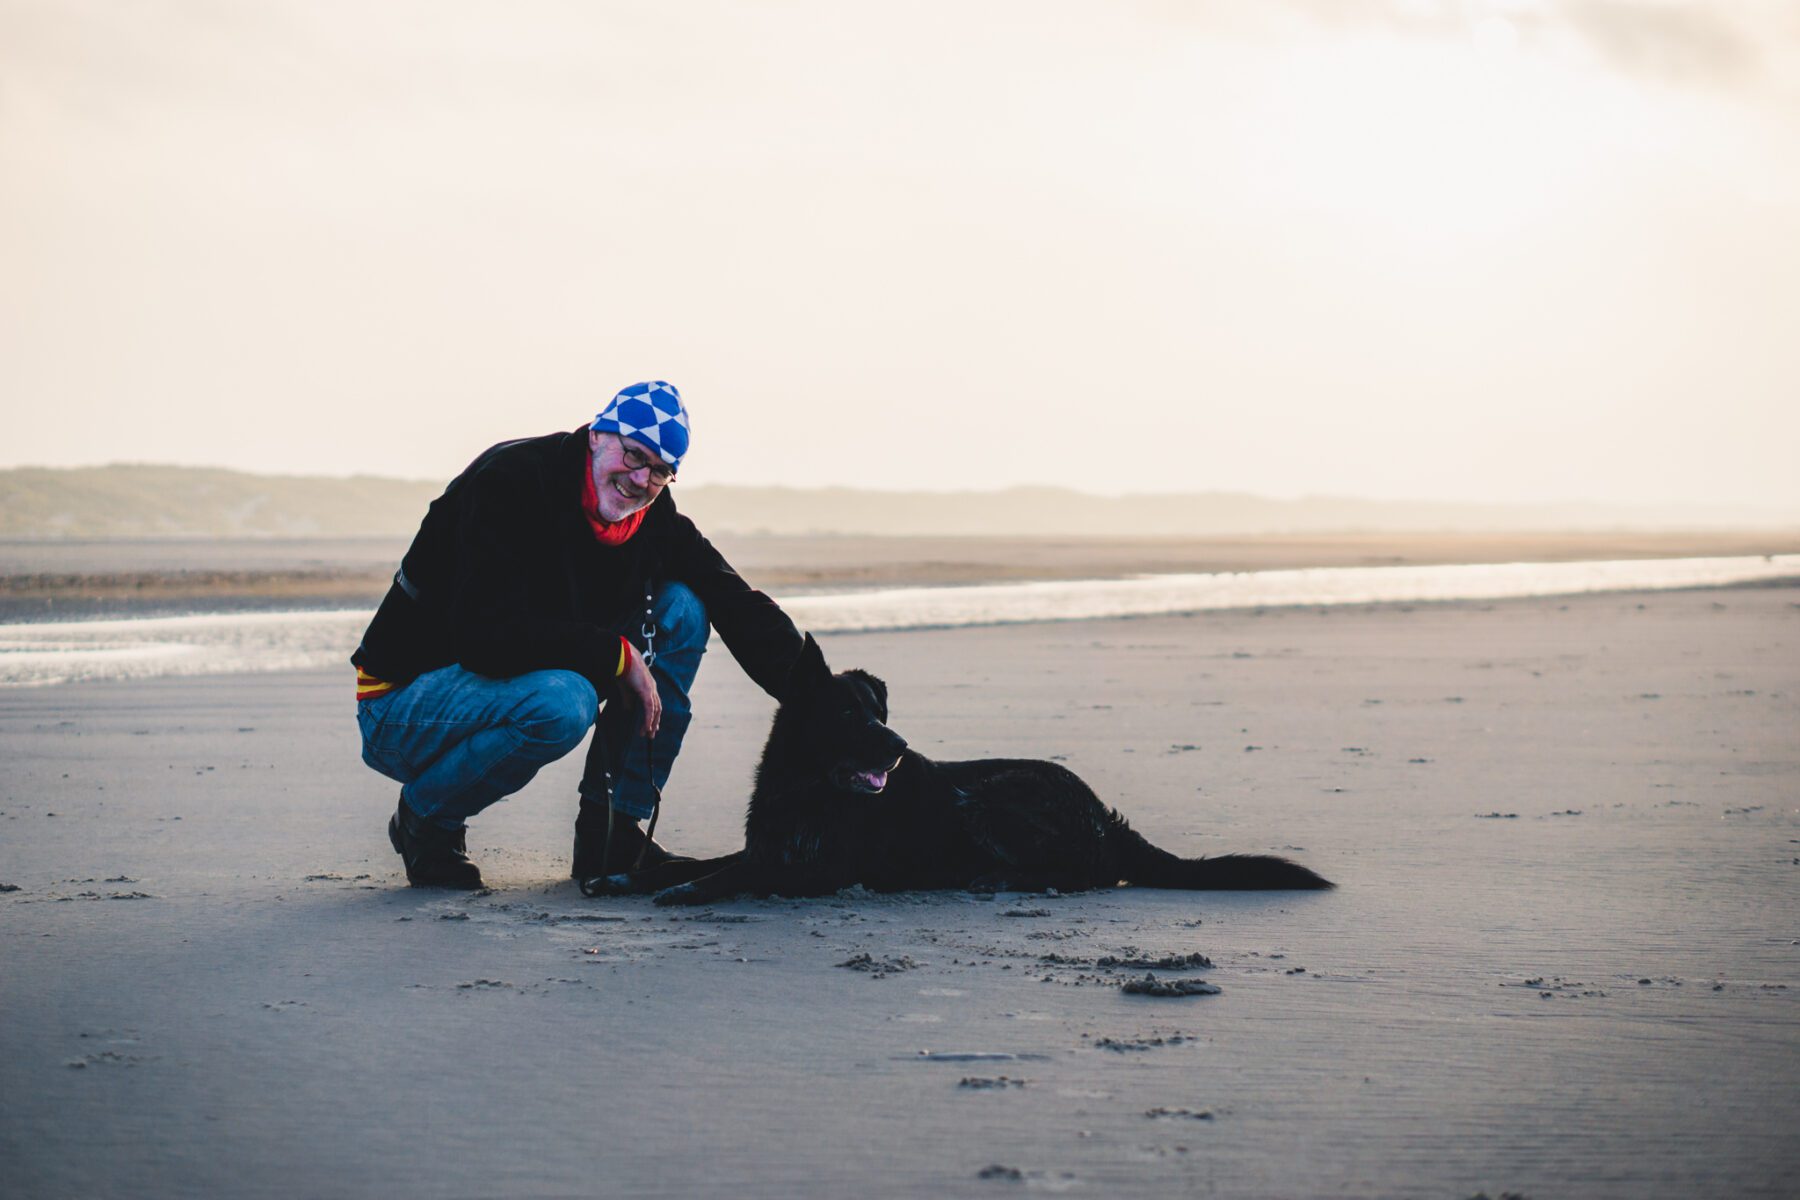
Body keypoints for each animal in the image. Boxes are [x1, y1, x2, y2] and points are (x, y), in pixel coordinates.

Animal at [583, 633, 1332, 906]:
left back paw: (996, 878)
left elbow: (727, 874)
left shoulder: (813, 870)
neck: (807, 789)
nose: (897, 743)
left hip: (989, 797)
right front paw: (627, 876)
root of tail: (1106, 816)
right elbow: (697, 860)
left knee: (1086, 874)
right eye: (849, 714)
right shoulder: (768, 846)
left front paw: (684, 891)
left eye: (878, 709)